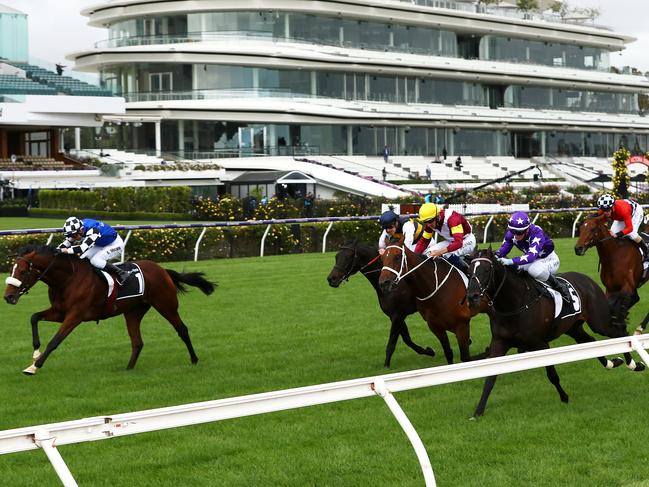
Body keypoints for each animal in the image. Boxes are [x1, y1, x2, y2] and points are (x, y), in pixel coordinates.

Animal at [3, 246, 215, 376]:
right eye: (11, 270)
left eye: (22, 271)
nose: (7, 297)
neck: (68, 278)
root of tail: (163, 270)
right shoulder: (59, 312)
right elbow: (34, 317)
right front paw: (35, 353)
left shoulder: (75, 315)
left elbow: (55, 340)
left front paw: (34, 366)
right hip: (133, 312)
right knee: (137, 342)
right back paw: (128, 369)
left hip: (166, 305)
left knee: (182, 330)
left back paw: (194, 359)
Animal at [466, 248, 644, 420]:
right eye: (469, 271)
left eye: (486, 270)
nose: (471, 296)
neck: (515, 304)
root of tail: (588, 280)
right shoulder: (499, 342)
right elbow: (490, 377)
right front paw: (478, 412)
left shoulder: (540, 343)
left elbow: (552, 374)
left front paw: (564, 397)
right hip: (574, 328)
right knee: (591, 341)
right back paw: (612, 363)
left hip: (600, 322)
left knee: (619, 333)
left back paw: (634, 364)